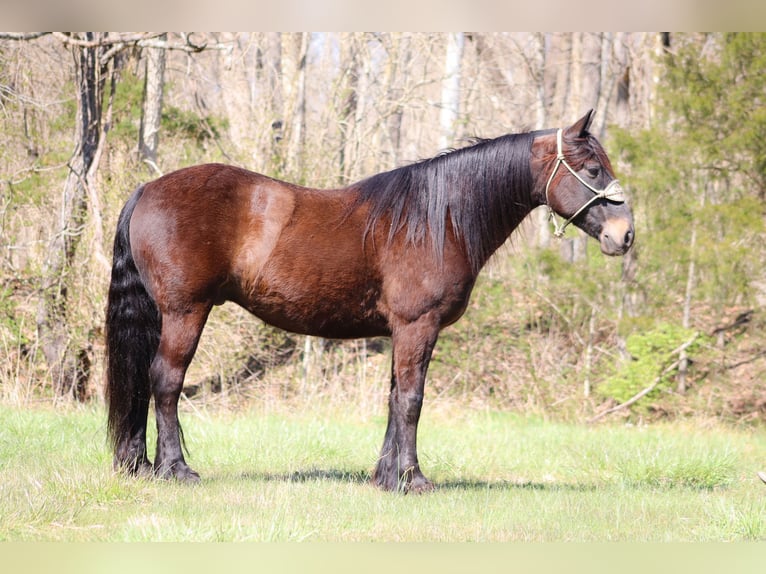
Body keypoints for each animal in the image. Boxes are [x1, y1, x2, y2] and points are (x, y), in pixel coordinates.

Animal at [106, 110, 636, 492]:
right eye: (593, 169)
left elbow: (394, 399)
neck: (437, 219)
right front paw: (413, 480)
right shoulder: (418, 326)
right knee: (166, 381)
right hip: (186, 313)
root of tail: (147, 188)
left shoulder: (402, 332)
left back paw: (144, 464)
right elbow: (412, 401)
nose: (624, 235)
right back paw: (176, 470)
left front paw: (385, 476)